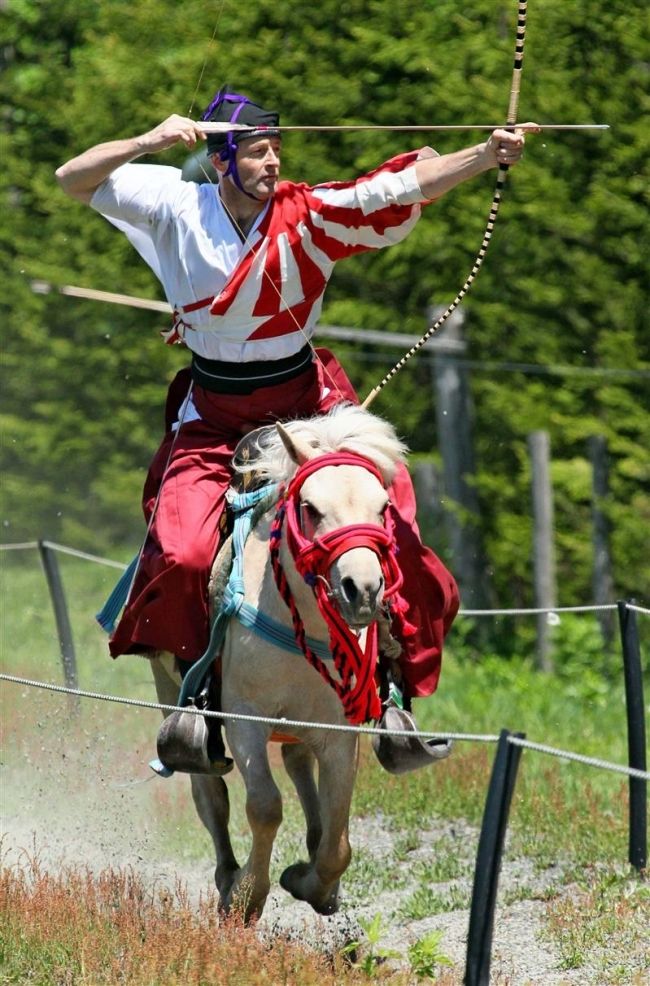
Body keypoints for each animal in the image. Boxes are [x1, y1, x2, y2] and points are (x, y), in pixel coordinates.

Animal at [149, 400, 408, 916]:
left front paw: (315, 884)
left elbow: (338, 832)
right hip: (170, 688)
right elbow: (265, 807)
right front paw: (246, 895)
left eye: (383, 508)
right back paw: (227, 871)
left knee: (297, 763)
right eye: (310, 508)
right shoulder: (243, 717)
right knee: (209, 790)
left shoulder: (338, 729)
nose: (363, 590)